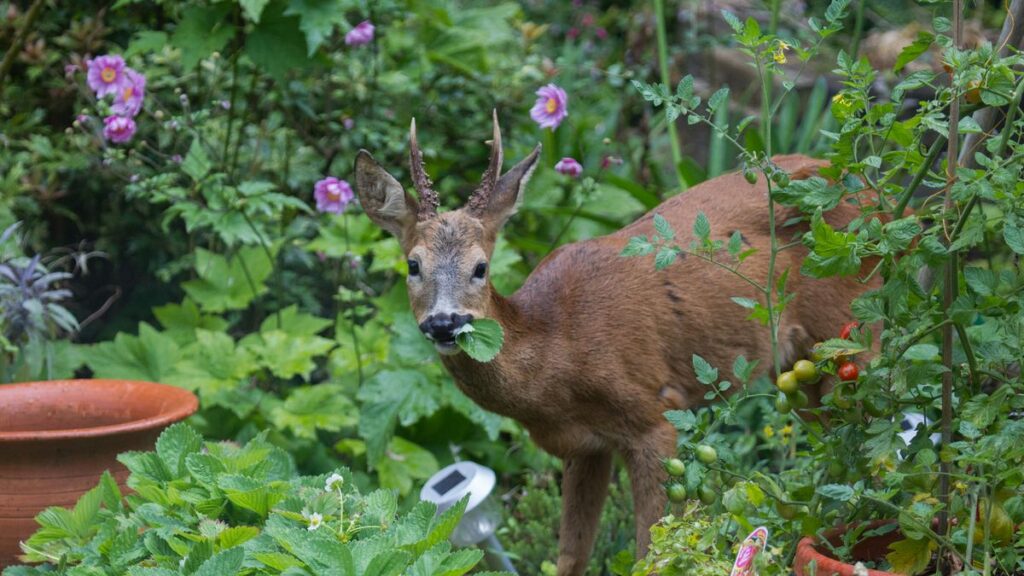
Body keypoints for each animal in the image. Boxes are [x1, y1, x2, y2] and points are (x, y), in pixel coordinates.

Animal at [353, 112, 874, 575]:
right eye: (413, 265)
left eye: (480, 267)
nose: (445, 323)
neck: (558, 352)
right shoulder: (582, 447)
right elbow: (570, 557)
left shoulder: (653, 416)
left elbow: (651, 553)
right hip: (799, 370)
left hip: (852, 328)